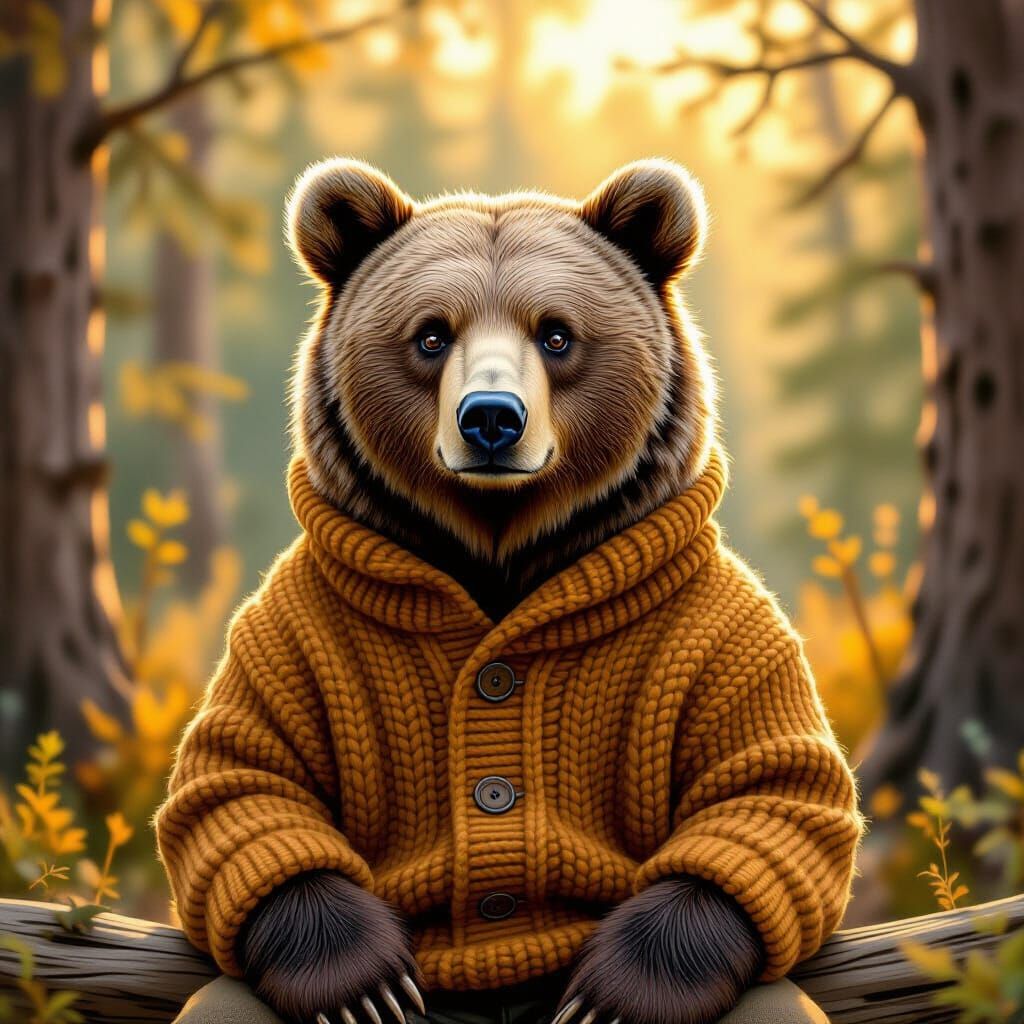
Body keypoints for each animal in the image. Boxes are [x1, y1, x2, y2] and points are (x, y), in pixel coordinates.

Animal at [158, 159, 863, 1024]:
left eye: (556, 333)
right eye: (431, 334)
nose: (491, 418)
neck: (498, 546)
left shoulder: (716, 633)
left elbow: (770, 790)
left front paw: (612, 996)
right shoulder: (296, 631)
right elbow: (242, 784)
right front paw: (365, 986)